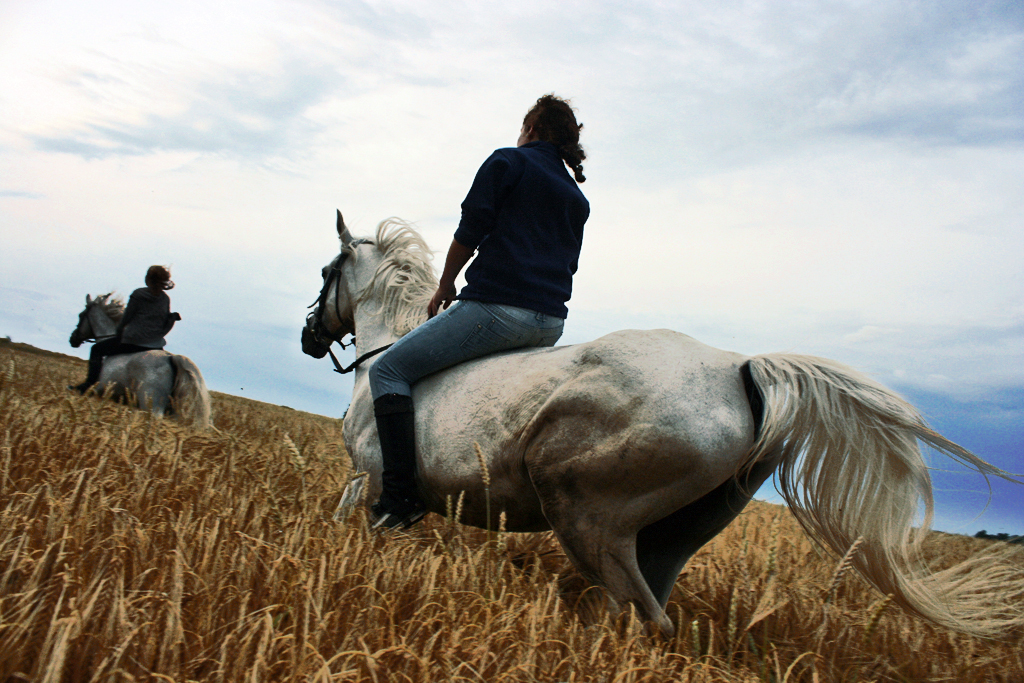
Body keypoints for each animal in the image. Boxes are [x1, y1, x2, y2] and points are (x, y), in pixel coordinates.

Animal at [70, 294, 211, 428]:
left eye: (81, 315)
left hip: (151, 405)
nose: (72, 339)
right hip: (173, 412)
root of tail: (171, 357)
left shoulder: (100, 393)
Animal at [303, 211, 1024, 634]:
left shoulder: (370, 483)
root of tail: (739, 368)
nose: (311, 337)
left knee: (644, 618)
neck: (381, 361)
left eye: (327, 269)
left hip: (592, 519)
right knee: (645, 615)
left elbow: (349, 521)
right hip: (673, 535)